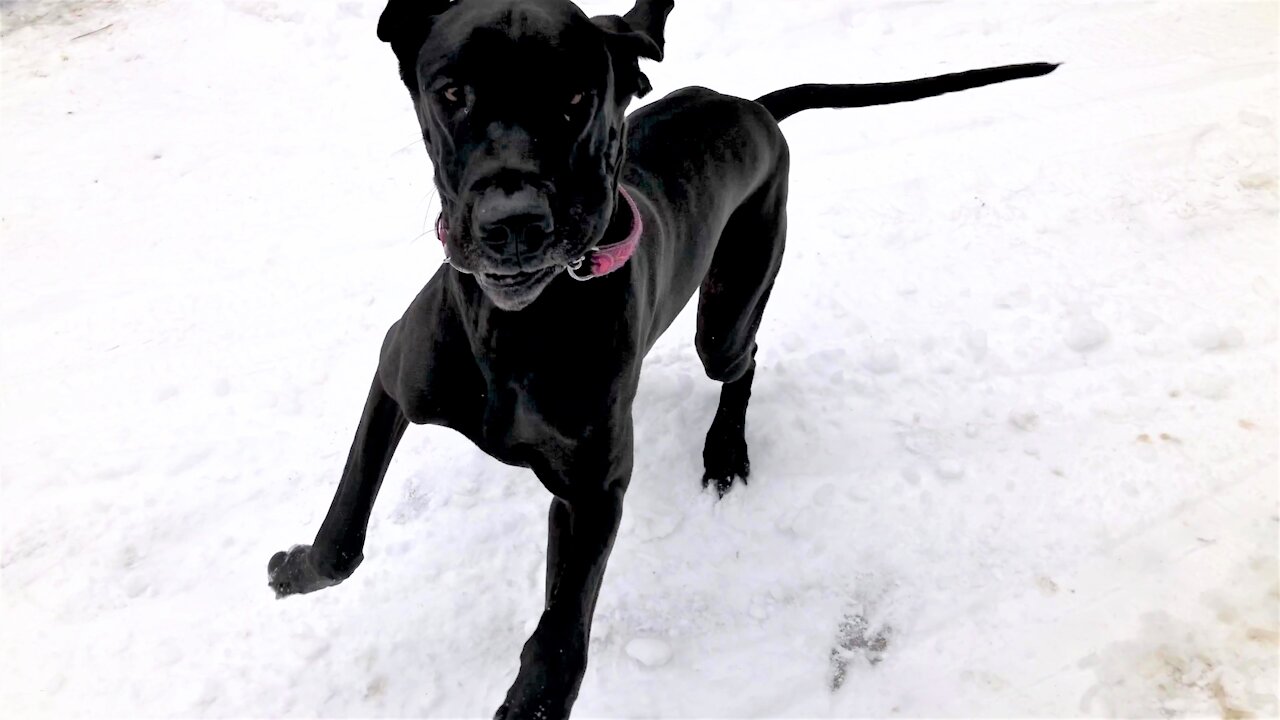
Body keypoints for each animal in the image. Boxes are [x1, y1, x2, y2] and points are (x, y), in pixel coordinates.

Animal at [267, 2, 1049, 712]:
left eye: (576, 101)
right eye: (452, 93)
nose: (513, 225)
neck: (519, 327)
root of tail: (753, 108)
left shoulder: (593, 493)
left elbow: (560, 646)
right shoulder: (395, 377)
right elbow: (342, 539)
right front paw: (293, 569)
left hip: (727, 313)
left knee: (745, 359)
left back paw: (725, 449)